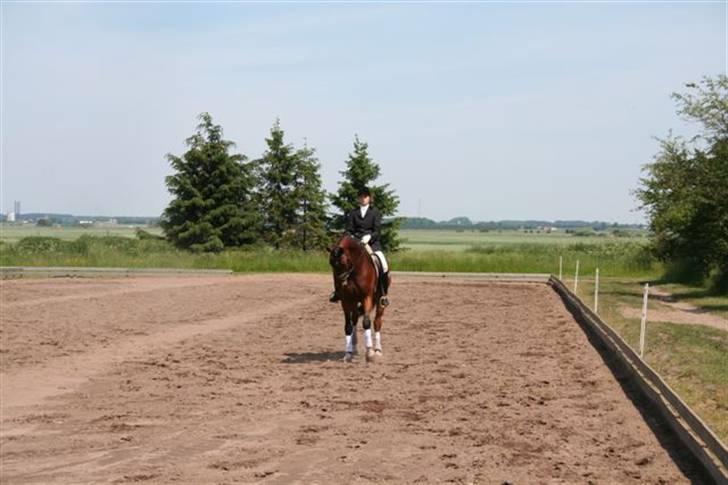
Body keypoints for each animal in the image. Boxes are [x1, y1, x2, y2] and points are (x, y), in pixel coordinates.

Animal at [330, 233, 390, 362]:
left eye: (343, 262)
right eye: (331, 264)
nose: (341, 283)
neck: (354, 270)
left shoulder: (366, 297)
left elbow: (366, 323)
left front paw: (370, 352)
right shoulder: (346, 300)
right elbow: (348, 326)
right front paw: (348, 353)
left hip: (379, 301)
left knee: (377, 322)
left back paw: (377, 350)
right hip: (354, 301)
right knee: (354, 320)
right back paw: (353, 348)